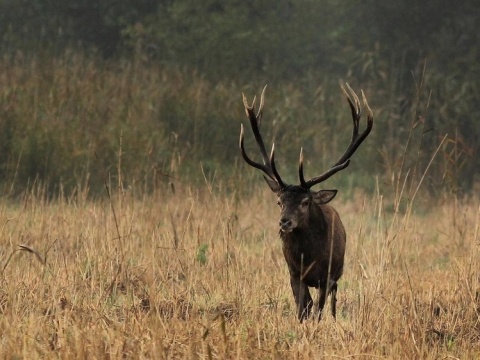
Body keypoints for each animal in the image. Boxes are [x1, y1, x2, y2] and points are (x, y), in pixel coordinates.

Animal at [239, 84, 372, 320]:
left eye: (305, 201)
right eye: (279, 201)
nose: (284, 222)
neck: (309, 257)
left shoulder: (326, 277)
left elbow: (318, 310)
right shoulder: (294, 273)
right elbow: (303, 309)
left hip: (337, 274)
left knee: (332, 302)